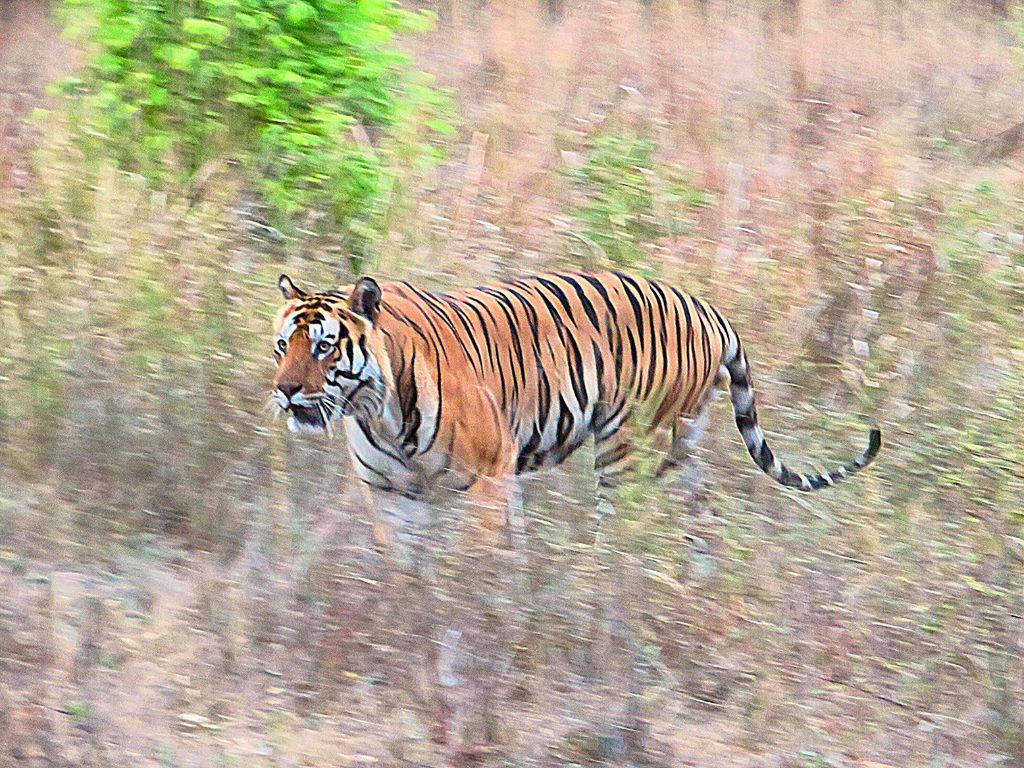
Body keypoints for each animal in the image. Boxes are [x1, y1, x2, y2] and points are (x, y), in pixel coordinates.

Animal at [271, 270, 881, 540]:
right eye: (283, 346)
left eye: (324, 347)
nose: (286, 390)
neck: (375, 411)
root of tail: (707, 306)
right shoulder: (390, 492)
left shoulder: (488, 475)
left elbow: (482, 557)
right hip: (683, 445)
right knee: (702, 512)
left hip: (627, 446)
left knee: (628, 530)